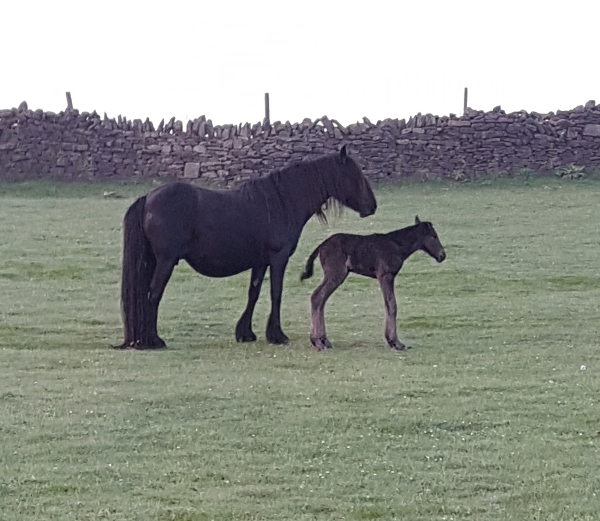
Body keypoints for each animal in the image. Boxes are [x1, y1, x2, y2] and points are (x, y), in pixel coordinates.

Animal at [118, 146, 376, 350]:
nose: (372, 206)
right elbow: (275, 292)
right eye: (355, 175)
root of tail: (148, 198)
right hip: (166, 261)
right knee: (153, 294)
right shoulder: (278, 258)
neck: (282, 202)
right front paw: (277, 335)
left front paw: (245, 333)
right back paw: (153, 340)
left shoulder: (260, 262)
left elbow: (254, 293)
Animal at [300, 215, 446, 350]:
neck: (397, 245)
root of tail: (321, 246)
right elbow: (391, 304)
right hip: (336, 274)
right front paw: (395, 342)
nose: (442, 255)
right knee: (317, 297)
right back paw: (318, 341)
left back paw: (323, 340)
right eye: (434, 236)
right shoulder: (385, 275)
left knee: (320, 299)